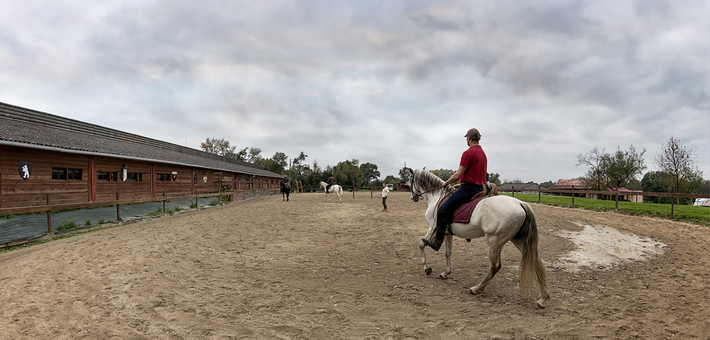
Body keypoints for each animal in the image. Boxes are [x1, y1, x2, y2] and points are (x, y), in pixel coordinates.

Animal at [406, 167, 552, 308]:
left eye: (411, 180)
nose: (413, 197)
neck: (436, 197)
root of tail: (521, 203)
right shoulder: (447, 233)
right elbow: (448, 253)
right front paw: (445, 273)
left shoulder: (433, 227)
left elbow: (422, 244)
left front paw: (426, 268)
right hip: (518, 240)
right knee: (535, 261)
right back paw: (543, 298)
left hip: (494, 241)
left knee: (495, 266)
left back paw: (476, 288)